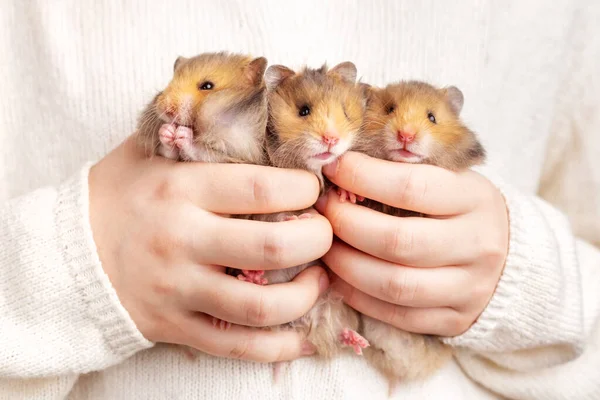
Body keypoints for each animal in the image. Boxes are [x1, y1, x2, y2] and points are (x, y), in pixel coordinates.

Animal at [137, 52, 268, 166]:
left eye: (207, 86)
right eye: (169, 83)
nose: (167, 110)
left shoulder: (239, 154)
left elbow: (201, 153)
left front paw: (182, 133)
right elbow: (168, 152)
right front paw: (166, 130)